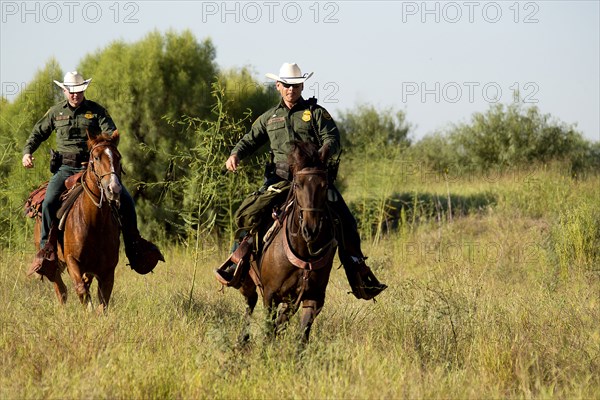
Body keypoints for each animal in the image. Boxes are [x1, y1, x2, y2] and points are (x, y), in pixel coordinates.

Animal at [33, 133, 122, 310]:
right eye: (96, 157)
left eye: (118, 157)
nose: (113, 189)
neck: (95, 223)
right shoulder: (72, 260)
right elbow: (81, 290)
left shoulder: (108, 270)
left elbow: (103, 300)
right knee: (61, 289)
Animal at [238, 142, 338, 346]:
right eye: (298, 185)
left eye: (324, 186)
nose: (310, 229)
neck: (304, 252)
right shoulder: (270, 295)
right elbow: (269, 330)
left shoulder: (313, 299)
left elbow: (301, 337)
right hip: (248, 283)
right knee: (249, 305)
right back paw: (241, 341)